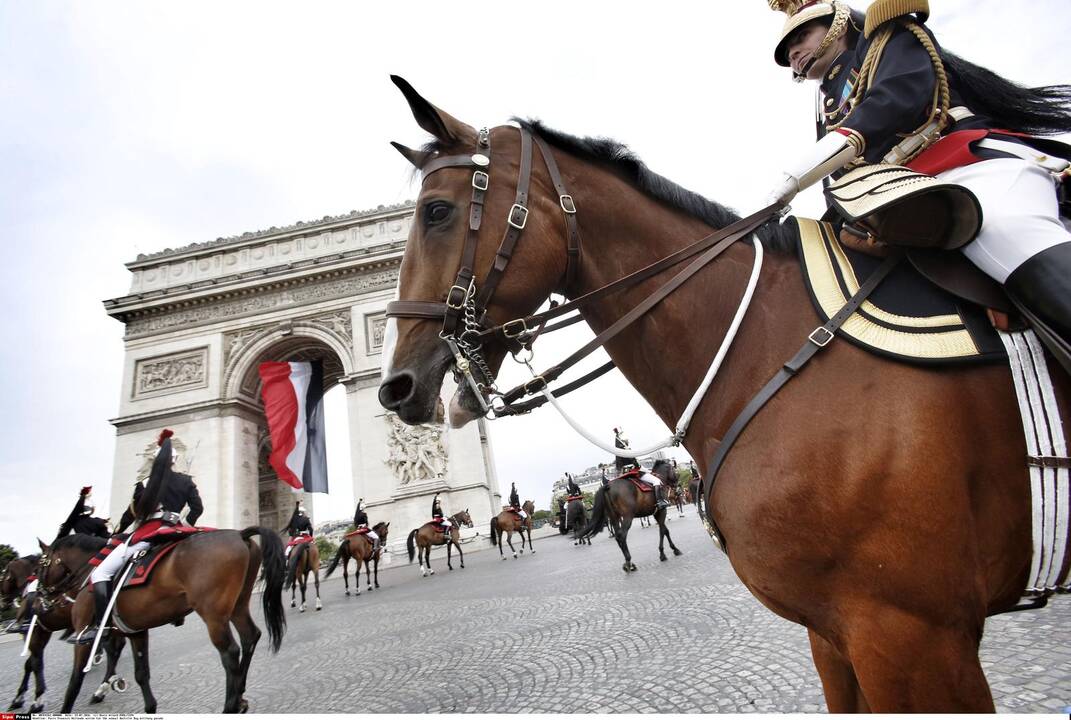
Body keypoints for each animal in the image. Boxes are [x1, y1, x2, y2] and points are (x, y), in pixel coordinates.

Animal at [54, 525, 287, 711]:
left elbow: (75, 681)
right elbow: (141, 674)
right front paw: (150, 707)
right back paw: (240, 694)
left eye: (45, 563)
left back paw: (230, 706)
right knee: (250, 637)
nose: (46, 597)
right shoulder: (137, 632)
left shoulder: (84, 637)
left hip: (214, 615)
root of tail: (239, 534)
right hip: (238, 605)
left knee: (230, 652)